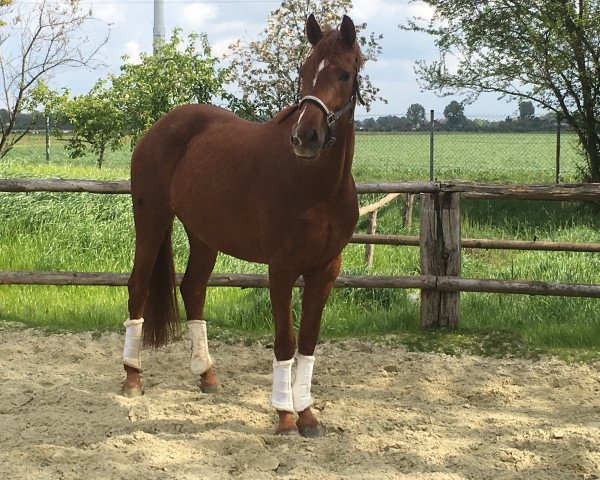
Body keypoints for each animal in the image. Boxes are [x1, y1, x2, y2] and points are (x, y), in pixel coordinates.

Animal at [121, 15, 364, 436]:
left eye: (344, 73)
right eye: (304, 71)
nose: (305, 137)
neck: (318, 186)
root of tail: (161, 126)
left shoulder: (326, 268)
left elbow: (308, 341)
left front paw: (308, 414)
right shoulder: (281, 268)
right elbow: (285, 341)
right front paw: (285, 416)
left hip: (204, 234)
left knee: (193, 288)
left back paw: (207, 375)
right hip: (151, 217)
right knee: (139, 284)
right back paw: (132, 375)